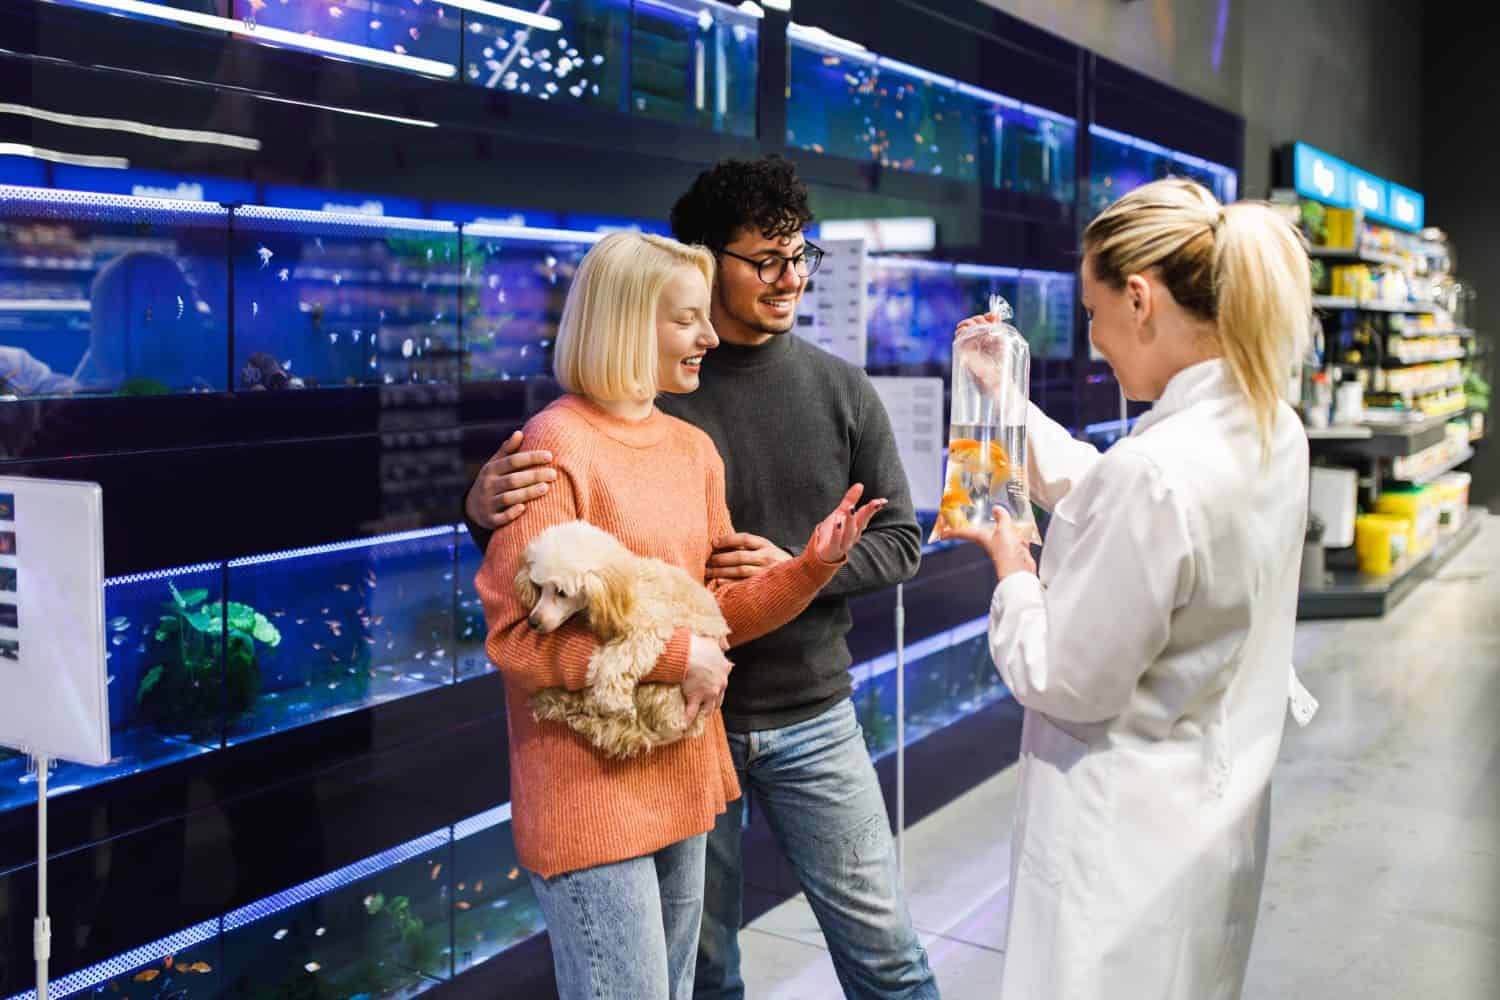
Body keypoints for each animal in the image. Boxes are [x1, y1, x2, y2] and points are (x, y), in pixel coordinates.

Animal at [513, 524, 729, 758]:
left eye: (561, 592)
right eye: (538, 587)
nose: (532, 622)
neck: (624, 585)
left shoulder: (647, 627)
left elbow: (619, 660)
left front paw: (611, 697)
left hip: (662, 692)